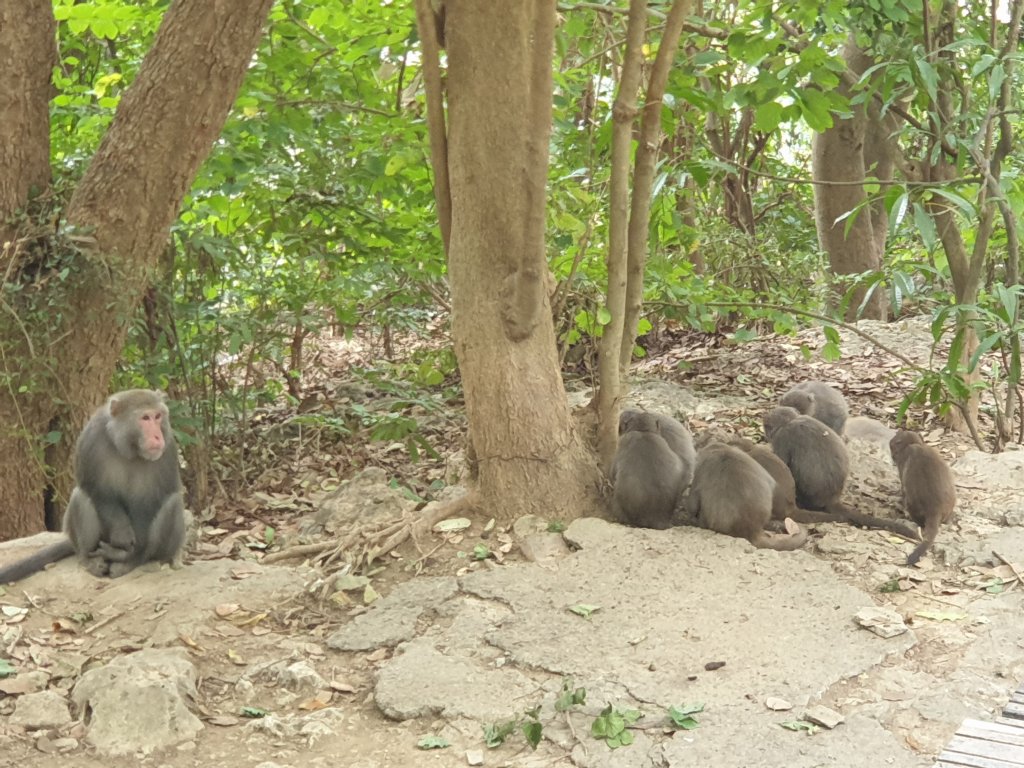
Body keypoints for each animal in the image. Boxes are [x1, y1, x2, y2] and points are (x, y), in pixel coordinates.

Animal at [0, 391, 186, 581]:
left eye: (158, 416)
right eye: (146, 418)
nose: (157, 436)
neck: (128, 448)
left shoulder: (168, 448)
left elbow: (153, 500)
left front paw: (130, 555)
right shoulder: (91, 437)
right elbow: (96, 489)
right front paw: (121, 534)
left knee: (173, 503)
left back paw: (130, 560)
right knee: (80, 495)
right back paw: (90, 559)